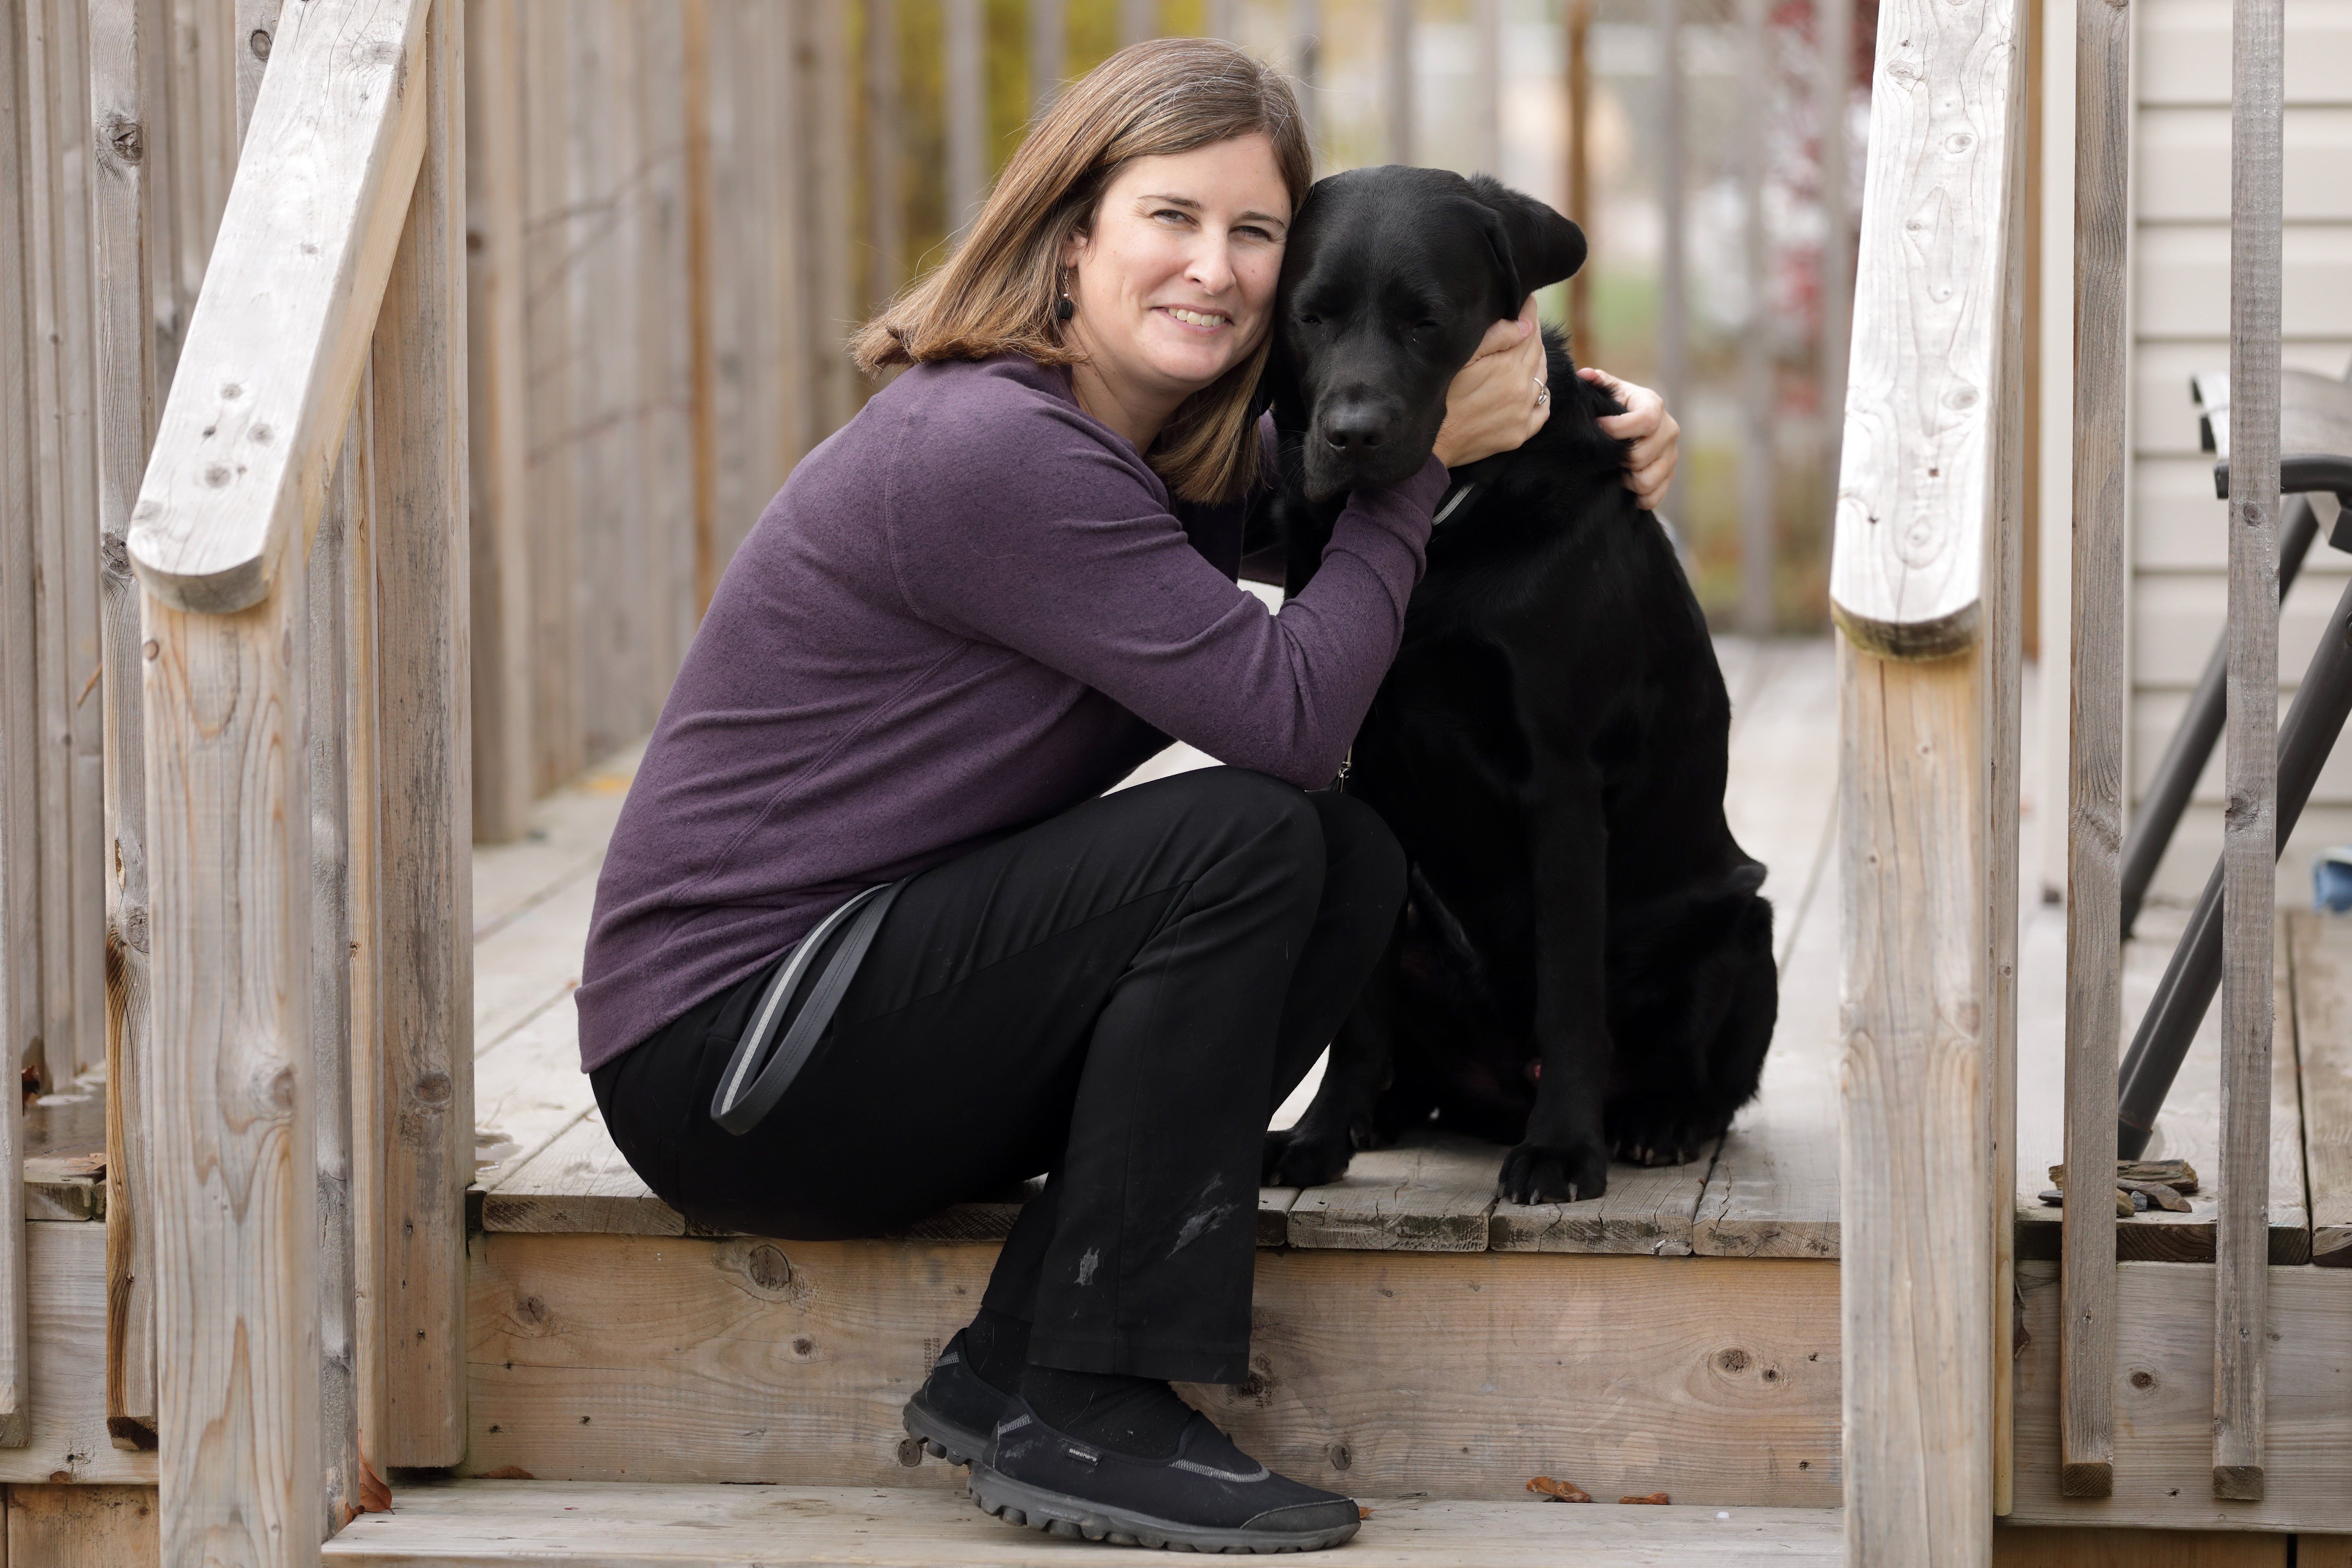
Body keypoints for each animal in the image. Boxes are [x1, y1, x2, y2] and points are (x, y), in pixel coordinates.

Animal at [1261, 169, 1769, 1203]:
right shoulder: (1359, 773)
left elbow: (1571, 992)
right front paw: (1324, 1135)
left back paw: (1657, 1123)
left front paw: (1565, 1151)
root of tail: (1495, 1095)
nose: (1351, 436)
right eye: (1311, 316)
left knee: (1709, 1082)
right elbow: (1358, 1011)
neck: (1444, 540)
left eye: (1428, 319)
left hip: (1743, 922)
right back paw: (1383, 1113)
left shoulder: (1560, 782)